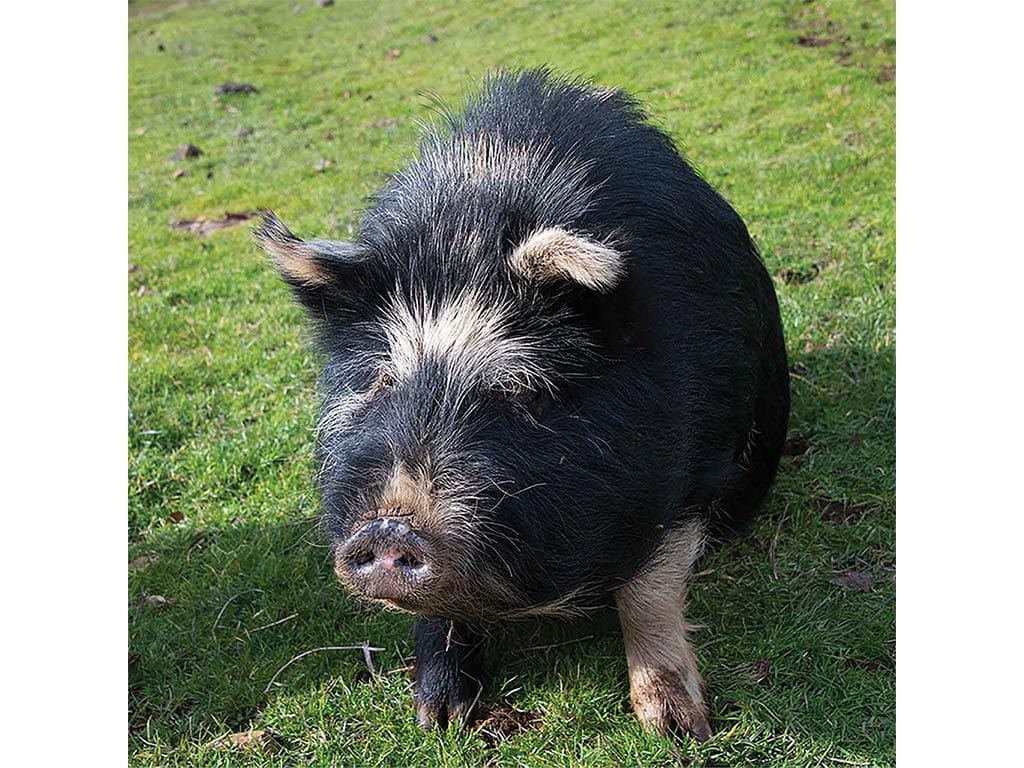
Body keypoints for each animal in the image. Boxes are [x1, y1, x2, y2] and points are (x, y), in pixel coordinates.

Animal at [256, 69, 790, 741]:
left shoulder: (691, 465)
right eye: (378, 384)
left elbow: (649, 592)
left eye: (520, 390)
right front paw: (440, 719)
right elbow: (440, 613)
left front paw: (677, 727)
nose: (390, 523)